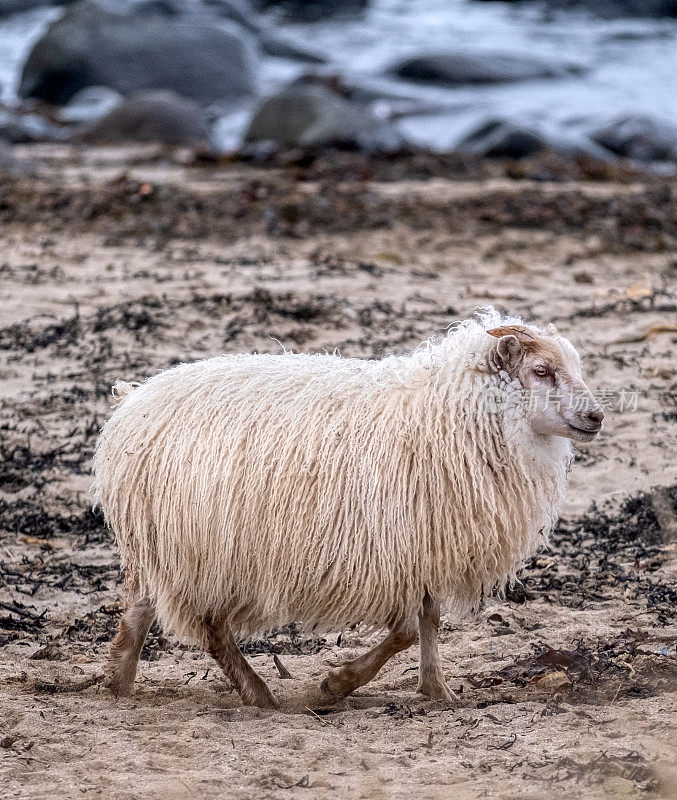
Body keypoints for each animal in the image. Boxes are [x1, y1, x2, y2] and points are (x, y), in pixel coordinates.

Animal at [93, 306, 604, 708]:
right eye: (541, 370)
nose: (596, 416)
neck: (450, 411)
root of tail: (132, 402)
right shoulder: (399, 547)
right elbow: (407, 631)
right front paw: (336, 684)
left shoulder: (425, 543)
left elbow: (428, 622)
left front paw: (437, 691)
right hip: (200, 551)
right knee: (210, 629)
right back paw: (258, 694)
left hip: (164, 545)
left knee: (139, 611)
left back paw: (119, 684)